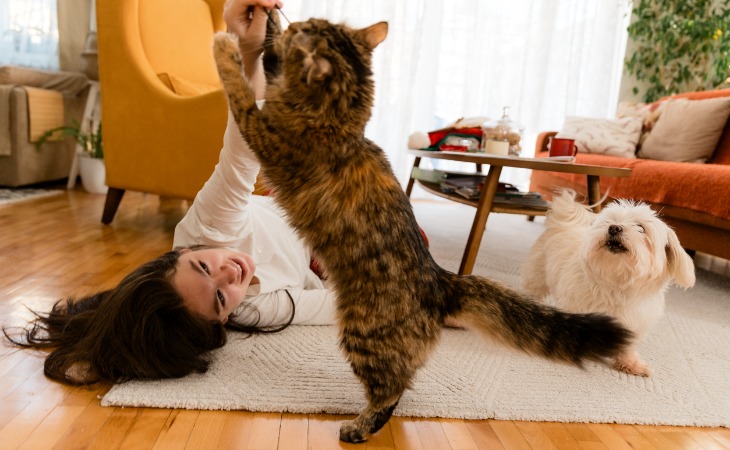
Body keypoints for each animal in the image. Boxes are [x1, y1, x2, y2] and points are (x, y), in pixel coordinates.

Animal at [212, 1, 632, 442]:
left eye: (306, 30)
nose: (299, 21)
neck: (342, 120)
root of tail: (441, 280)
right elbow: (268, 58)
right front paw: (263, 21)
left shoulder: (263, 132)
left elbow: (241, 90)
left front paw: (226, 44)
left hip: (362, 334)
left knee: (391, 390)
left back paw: (358, 427)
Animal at [520, 190, 692, 376]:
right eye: (610, 221)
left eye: (641, 228)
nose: (614, 228)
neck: (616, 284)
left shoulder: (633, 321)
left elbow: (627, 346)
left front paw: (630, 363)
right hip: (536, 277)